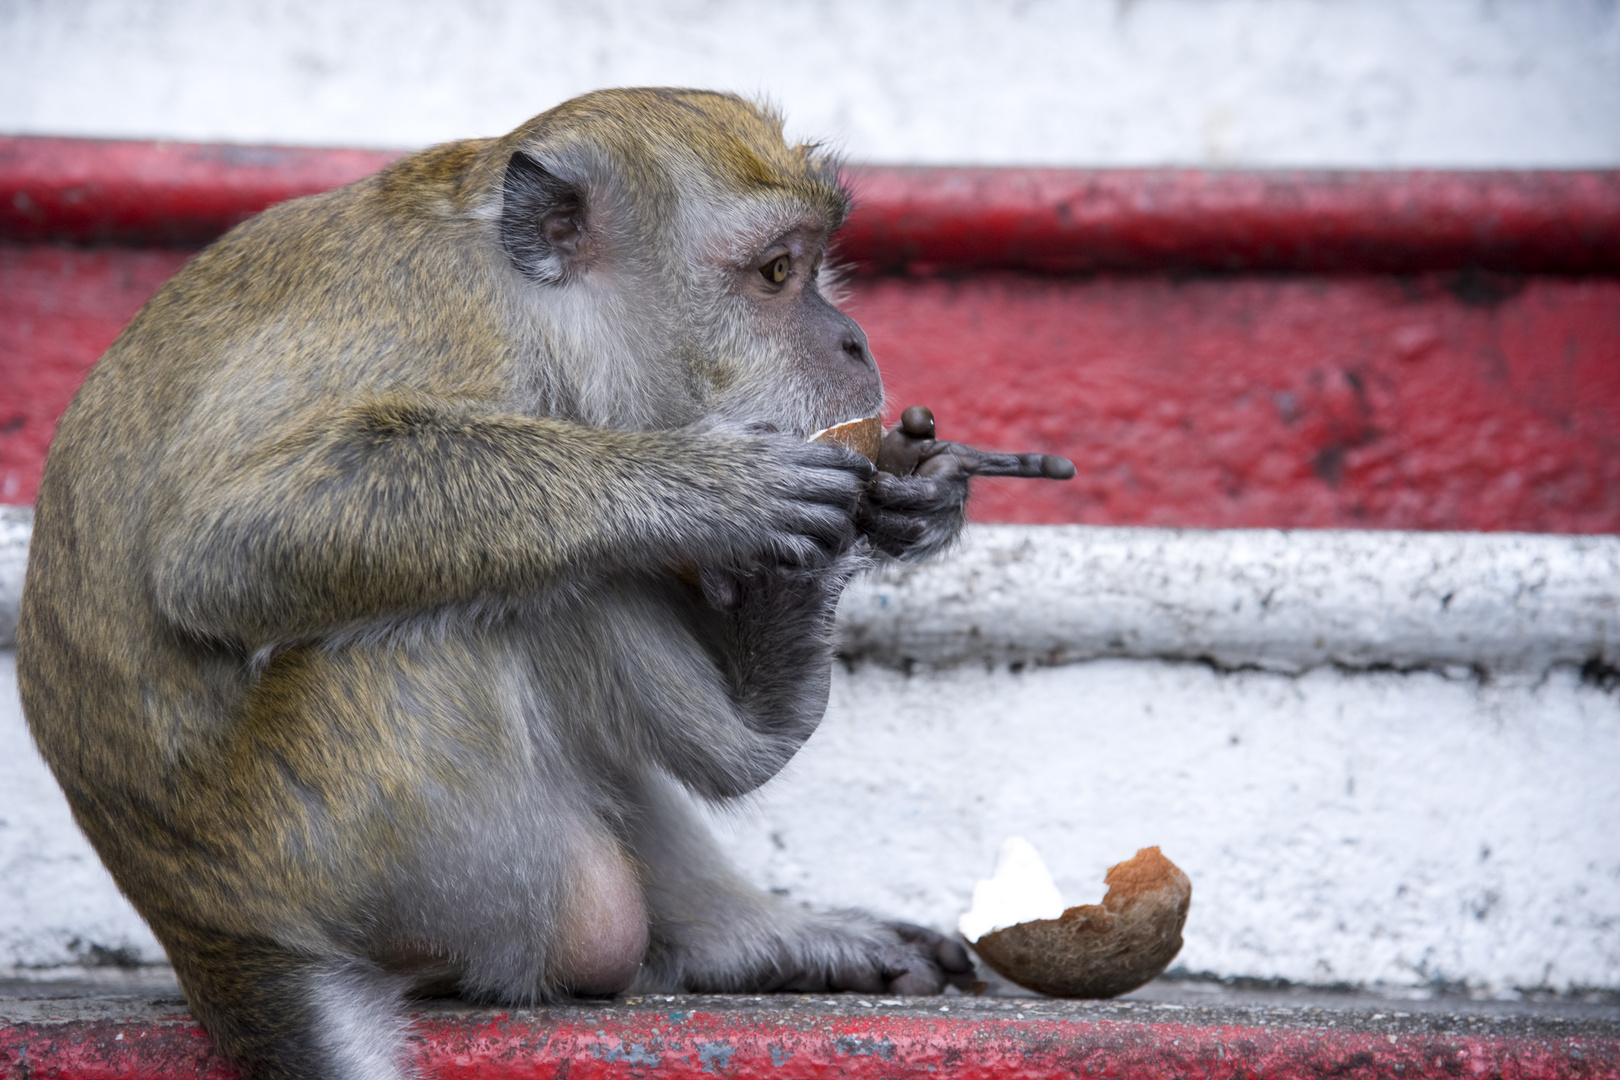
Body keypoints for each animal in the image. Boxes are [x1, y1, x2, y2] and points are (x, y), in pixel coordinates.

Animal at [19, 88, 1069, 1075]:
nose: (854, 341)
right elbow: (223, 542)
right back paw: (758, 721)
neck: (529, 311)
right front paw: (706, 486)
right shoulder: (447, 341)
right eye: (776, 273)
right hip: (385, 847)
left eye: (816, 265)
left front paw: (924, 492)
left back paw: (752, 935)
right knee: (525, 597)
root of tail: (208, 934)